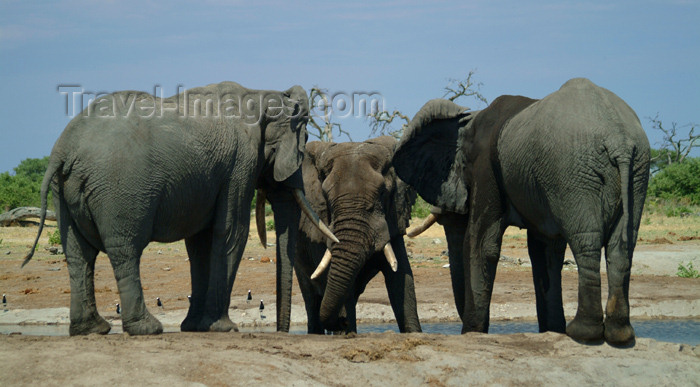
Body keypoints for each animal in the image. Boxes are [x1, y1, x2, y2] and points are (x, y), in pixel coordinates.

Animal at [22, 81, 336, 336]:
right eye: (304, 143)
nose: (282, 332)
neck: (262, 94)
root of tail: (64, 150)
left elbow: (199, 244)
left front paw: (196, 327)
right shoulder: (240, 163)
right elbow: (231, 233)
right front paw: (223, 328)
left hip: (64, 190)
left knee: (78, 254)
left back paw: (91, 330)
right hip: (120, 189)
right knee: (125, 250)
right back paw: (147, 328)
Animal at [288, 136, 422, 334]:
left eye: (383, 193)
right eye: (325, 196)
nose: (341, 323)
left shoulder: (394, 219)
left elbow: (402, 280)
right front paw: (347, 330)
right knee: (312, 299)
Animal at [394, 79, 652, 346]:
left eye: (462, 166)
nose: (466, 328)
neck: (470, 121)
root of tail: (619, 140)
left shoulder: (486, 168)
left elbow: (481, 244)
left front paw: (473, 333)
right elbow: (544, 251)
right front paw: (552, 331)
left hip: (574, 173)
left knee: (586, 241)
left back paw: (583, 333)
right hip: (634, 172)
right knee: (621, 247)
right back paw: (619, 334)